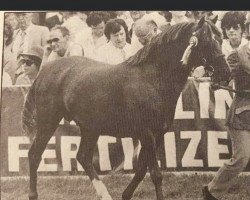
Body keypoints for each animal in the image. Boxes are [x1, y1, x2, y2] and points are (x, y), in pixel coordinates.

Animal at [23, 17, 230, 200]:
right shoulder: (147, 133)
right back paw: (33, 195)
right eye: (206, 41)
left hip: (90, 128)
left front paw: (125, 194)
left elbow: (141, 170)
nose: (225, 73)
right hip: (49, 122)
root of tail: (44, 71)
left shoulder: (157, 135)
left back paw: (105, 195)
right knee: (34, 154)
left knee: (83, 156)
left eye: (221, 39)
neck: (152, 79)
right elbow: (155, 174)